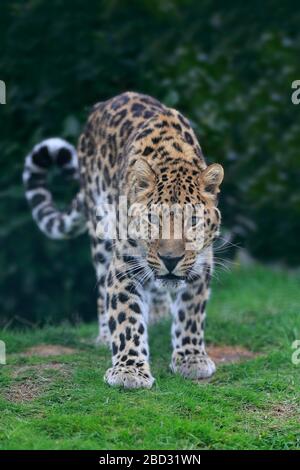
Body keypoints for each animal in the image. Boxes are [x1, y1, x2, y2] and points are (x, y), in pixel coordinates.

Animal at [22, 92, 223, 390]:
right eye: (152, 218)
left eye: (194, 220)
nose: (171, 260)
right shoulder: (124, 266)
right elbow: (127, 318)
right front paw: (129, 371)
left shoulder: (201, 263)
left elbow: (191, 313)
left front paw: (191, 359)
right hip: (100, 233)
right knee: (103, 288)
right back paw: (106, 334)